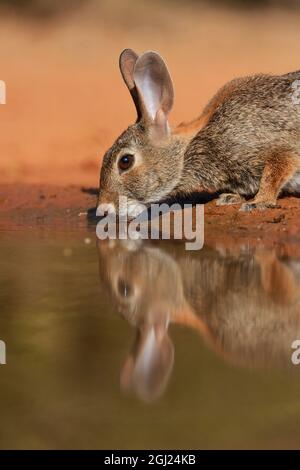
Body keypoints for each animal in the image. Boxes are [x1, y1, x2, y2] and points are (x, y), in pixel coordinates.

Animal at [98, 48, 300, 215]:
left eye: (125, 161)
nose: (103, 209)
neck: (188, 149)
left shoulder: (276, 148)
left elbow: (274, 172)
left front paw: (258, 203)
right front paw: (231, 198)